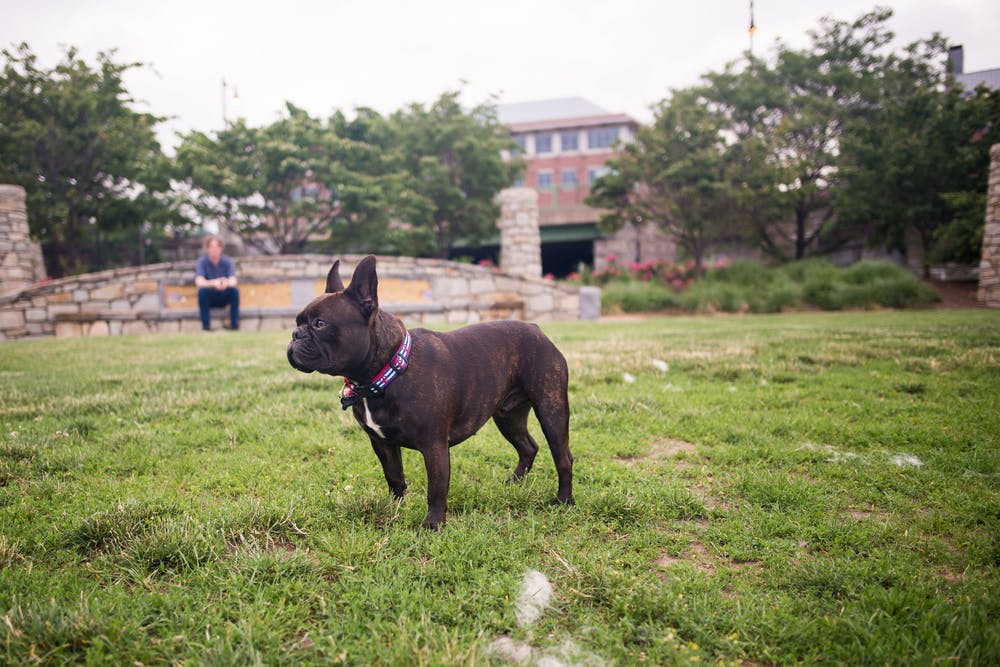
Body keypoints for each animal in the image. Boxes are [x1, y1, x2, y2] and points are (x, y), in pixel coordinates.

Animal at [286, 256, 576, 528]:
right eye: (298, 321)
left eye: (320, 324)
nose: (295, 334)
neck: (390, 370)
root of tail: (537, 329)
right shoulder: (381, 443)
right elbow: (394, 477)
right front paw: (395, 508)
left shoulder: (434, 446)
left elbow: (436, 488)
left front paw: (433, 524)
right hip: (508, 416)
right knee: (528, 446)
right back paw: (514, 482)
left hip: (551, 409)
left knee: (562, 457)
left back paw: (563, 500)